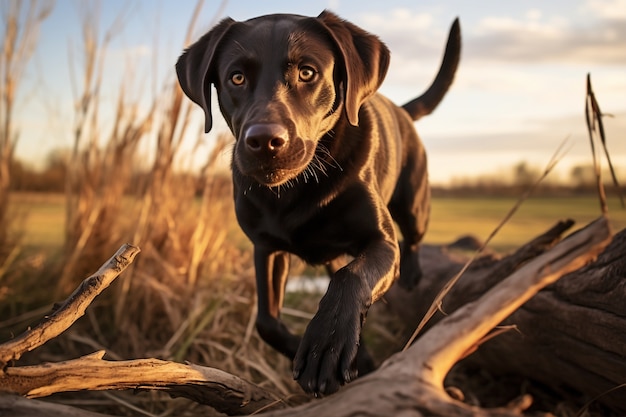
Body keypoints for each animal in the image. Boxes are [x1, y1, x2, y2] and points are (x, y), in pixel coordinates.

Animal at [176, 8, 458, 394]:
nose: (264, 141)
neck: (297, 188)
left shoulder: (381, 241)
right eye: (236, 78)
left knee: (411, 238)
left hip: (414, 203)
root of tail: (401, 110)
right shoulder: (266, 248)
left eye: (307, 72)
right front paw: (318, 351)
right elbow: (266, 322)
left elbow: (351, 276)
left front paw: (327, 343)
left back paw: (413, 274)